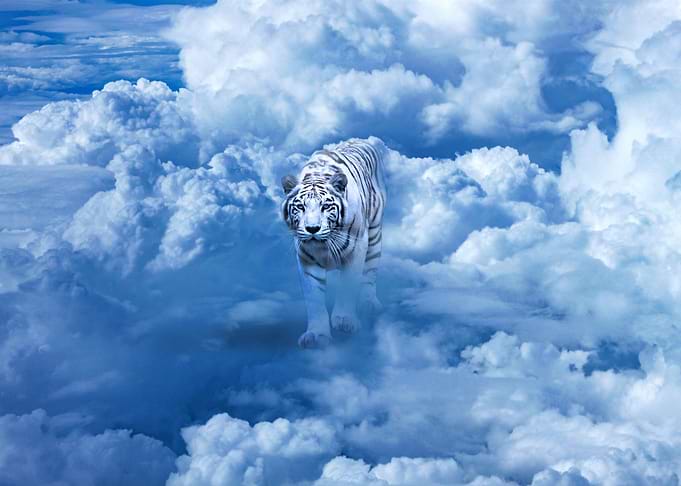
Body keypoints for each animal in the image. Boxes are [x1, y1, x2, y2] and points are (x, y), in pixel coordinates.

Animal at [281, 137, 387, 348]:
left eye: (326, 206)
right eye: (300, 207)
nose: (312, 229)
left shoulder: (357, 250)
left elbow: (347, 286)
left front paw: (344, 321)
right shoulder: (306, 259)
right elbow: (314, 299)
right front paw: (316, 334)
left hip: (374, 234)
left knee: (370, 273)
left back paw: (369, 303)